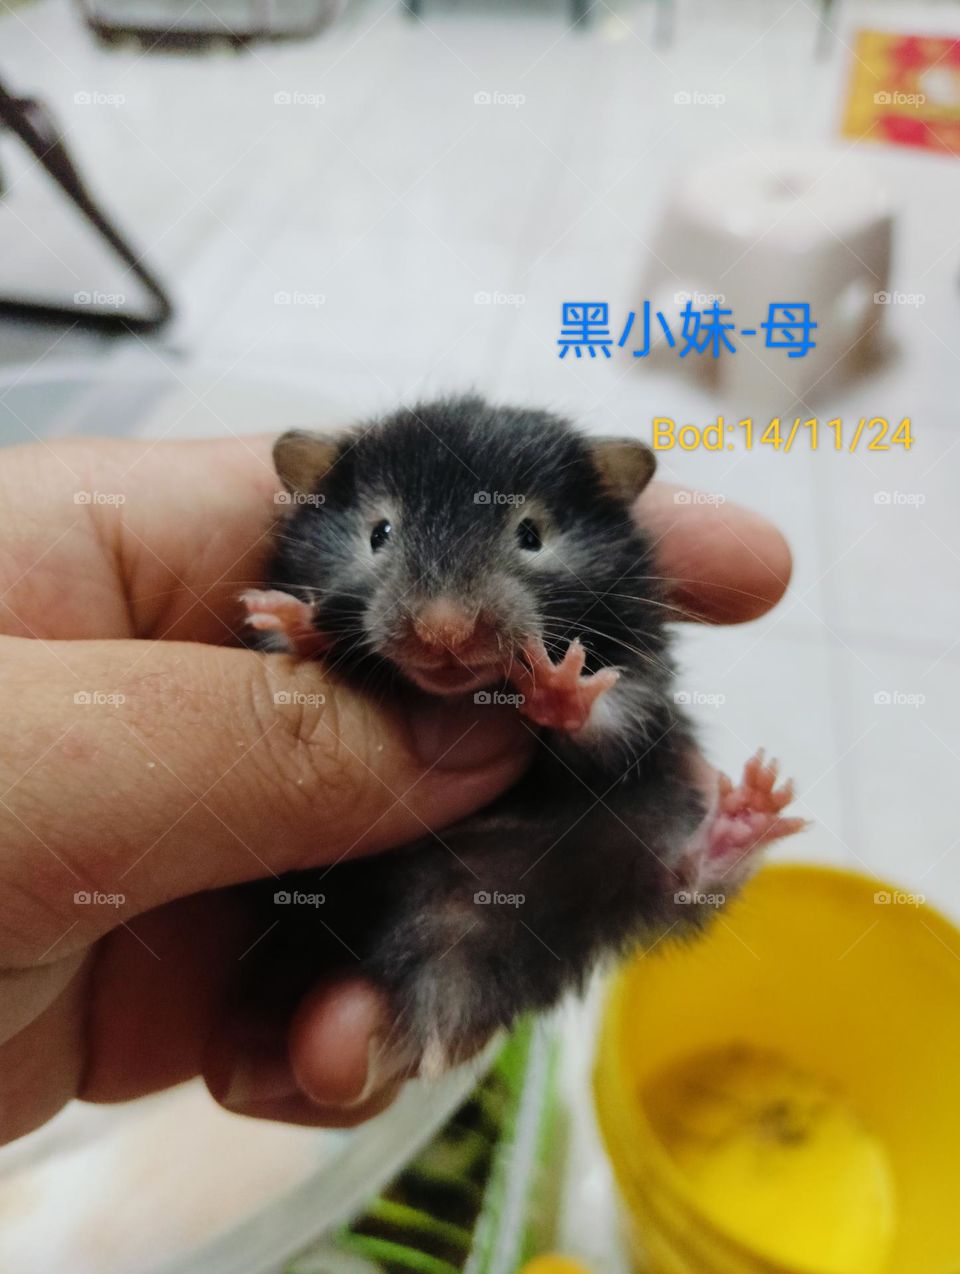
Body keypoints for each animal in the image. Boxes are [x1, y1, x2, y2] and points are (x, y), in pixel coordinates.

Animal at [242, 396, 804, 1079]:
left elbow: (611, 721)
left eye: (531, 535)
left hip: (637, 846)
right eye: (379, 534)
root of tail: (452, 968)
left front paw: (555, 684)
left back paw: (750, 809)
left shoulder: (641, 682)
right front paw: (301, 623)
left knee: (685, 885)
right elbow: (286, 640)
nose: (445, 632)